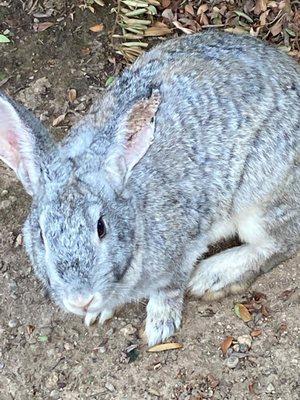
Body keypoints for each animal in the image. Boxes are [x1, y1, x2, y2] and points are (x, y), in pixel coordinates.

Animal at [0, 29, 300, 346]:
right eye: (41, 236)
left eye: (101, 227)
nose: (81, 300)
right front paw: (98, 313)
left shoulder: (183, 247)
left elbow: (170, 287)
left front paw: (159, 324)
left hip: (260, 198)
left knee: (280, 244)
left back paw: (211, 277)